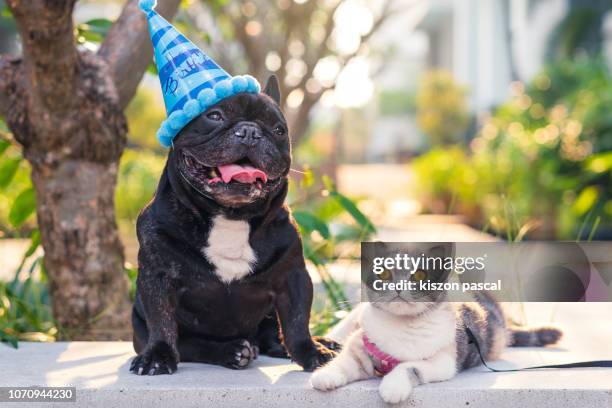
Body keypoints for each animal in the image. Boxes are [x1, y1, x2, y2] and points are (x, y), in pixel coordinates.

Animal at [314, 244, 560, 404]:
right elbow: (345, 361)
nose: (398, 287)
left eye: (419, 275)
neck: (400, 326)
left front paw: (393, 387)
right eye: (383, 273)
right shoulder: (360, 343)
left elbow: (408, 366)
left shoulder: (443, 361)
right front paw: (325, 374)